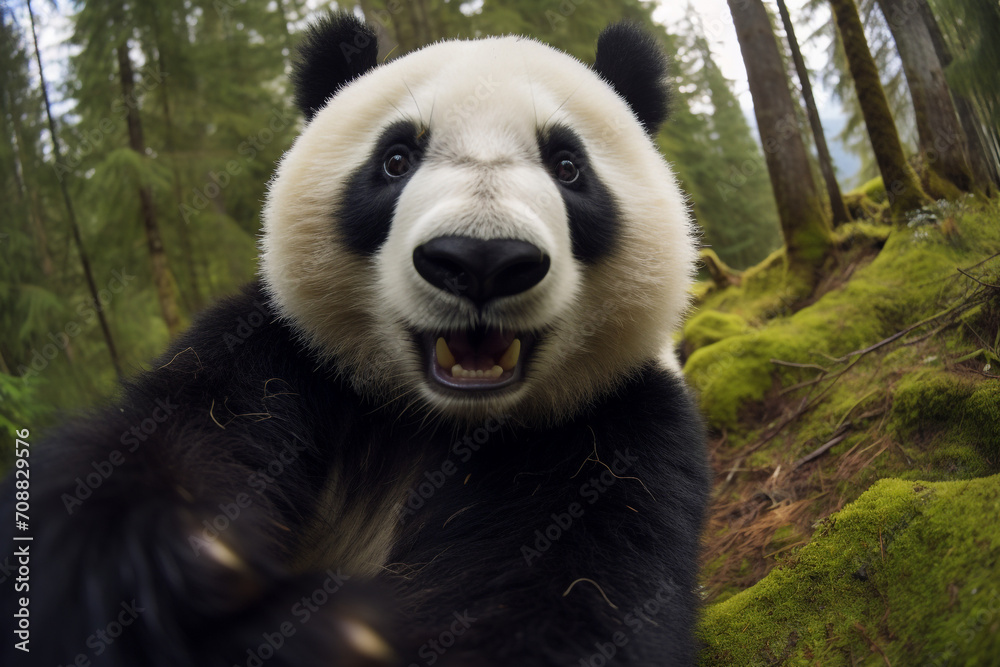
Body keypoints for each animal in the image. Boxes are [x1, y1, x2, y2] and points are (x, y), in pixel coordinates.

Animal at [1, 13, 708, 667]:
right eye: (396, 159)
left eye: (567, 166)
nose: (480, 259)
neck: (431, 421)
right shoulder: (285, 353)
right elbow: (164, 437)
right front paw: (191, 560)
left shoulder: (616, 430)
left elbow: (574, 600)